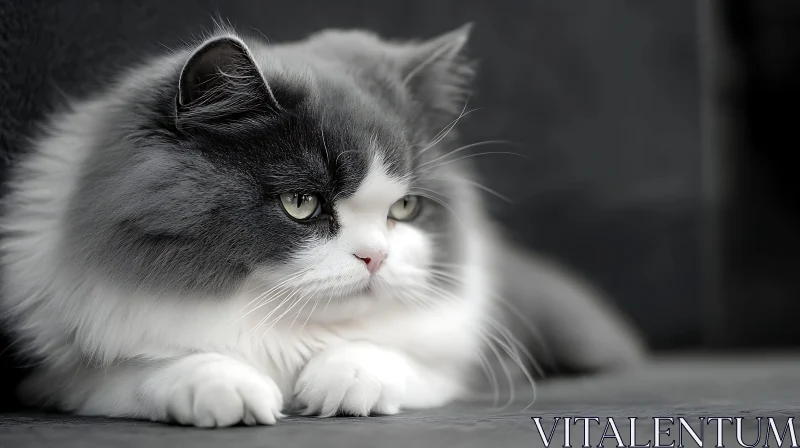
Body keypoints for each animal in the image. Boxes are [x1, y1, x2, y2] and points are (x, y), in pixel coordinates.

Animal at [0, 24, 644, 428]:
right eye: (301, 204)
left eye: (404, 210)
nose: (376, 257)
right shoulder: (55, 377)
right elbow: (152, 367)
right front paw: (224, 389)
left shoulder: (458, 364)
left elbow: (386, 353)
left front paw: (344, 379)